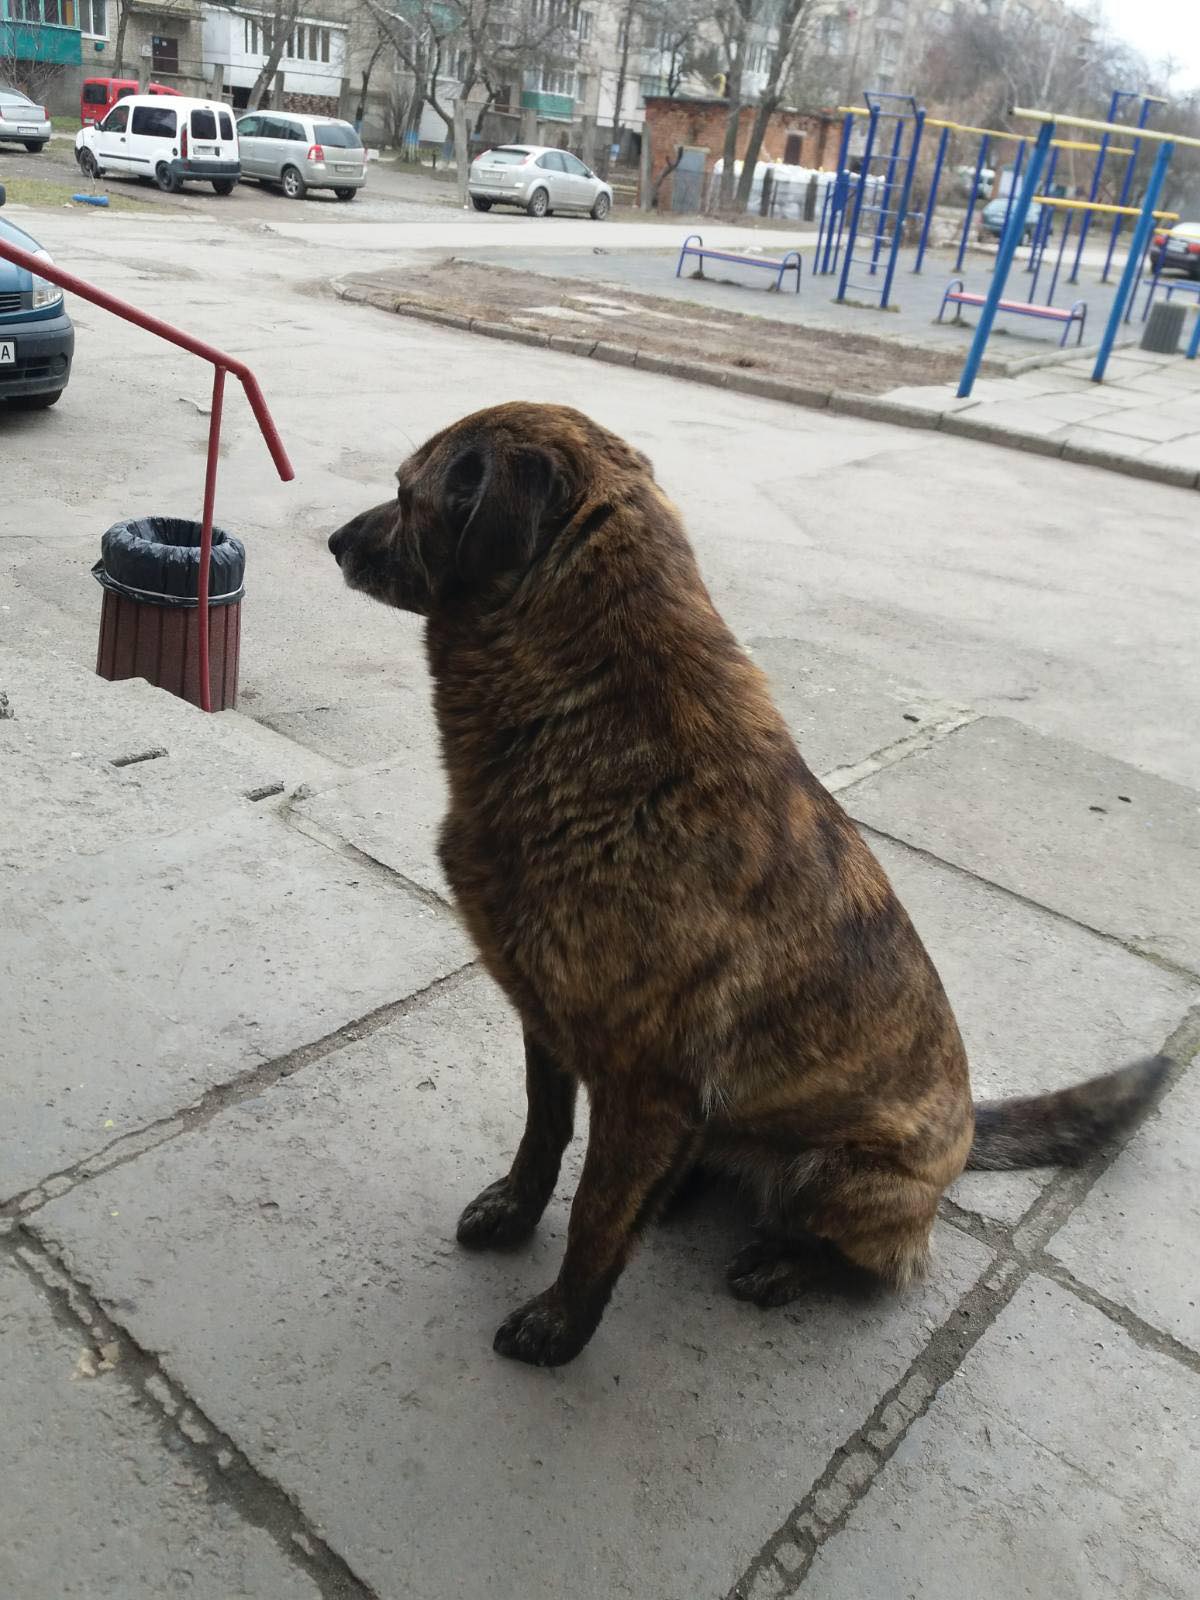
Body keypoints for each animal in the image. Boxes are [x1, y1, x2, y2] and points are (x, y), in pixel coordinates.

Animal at [328, 401, 1167, 1368]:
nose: (332, 541)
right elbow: (544, 1137)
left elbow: (595, 1216)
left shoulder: (643, 1084)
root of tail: (959, 1144)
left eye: (405, 494)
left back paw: (784, 1263)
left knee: (877, 1263)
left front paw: (562, 1323)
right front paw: (513, 1213)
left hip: (837, 1176)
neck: (592, 717)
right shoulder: (549, 1023)